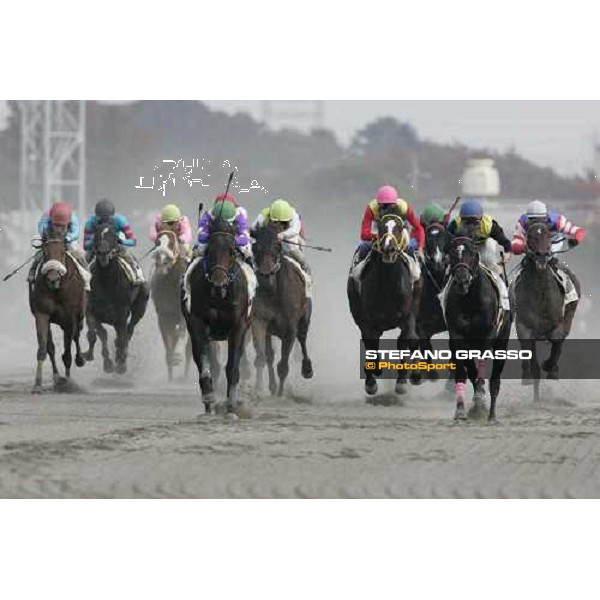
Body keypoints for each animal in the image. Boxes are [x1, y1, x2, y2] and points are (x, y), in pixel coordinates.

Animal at [29, 230, 86, 394]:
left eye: (62, 252)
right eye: (44, 252)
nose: (53, 278)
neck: (57, 290)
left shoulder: (69, 318)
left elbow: (67, 353)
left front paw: (67, 382)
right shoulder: (42, 314)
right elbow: (44, 348)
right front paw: (38, 384)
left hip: (80, 315)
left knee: (76, 336)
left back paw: (78, 361)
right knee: (51, 347)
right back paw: (56, 378)